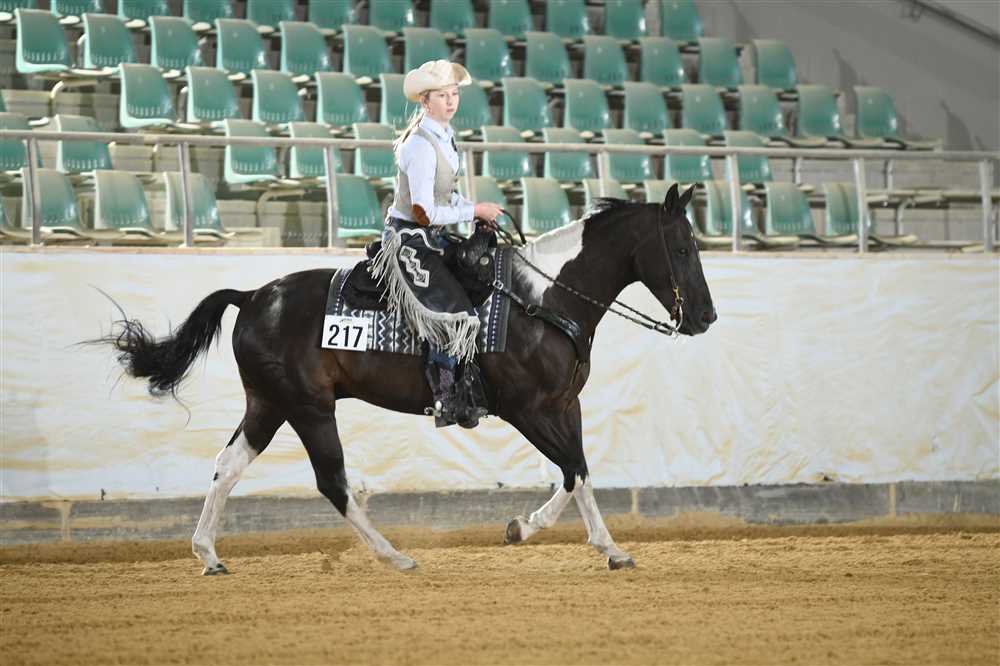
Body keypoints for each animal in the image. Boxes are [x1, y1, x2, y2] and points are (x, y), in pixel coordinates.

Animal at [97, 183, 715, 574]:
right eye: (683, 246)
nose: (706, 317)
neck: (543, 300)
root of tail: (252, 296)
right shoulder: (528, 410)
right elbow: (575, 470)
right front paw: (559, 537)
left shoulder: (566, 406)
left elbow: (577, 473)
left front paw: (575, 539)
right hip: (309, 408)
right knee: (333, 483)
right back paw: (395, 556)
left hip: (268, 405)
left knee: (227, 466)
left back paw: (208, 554)